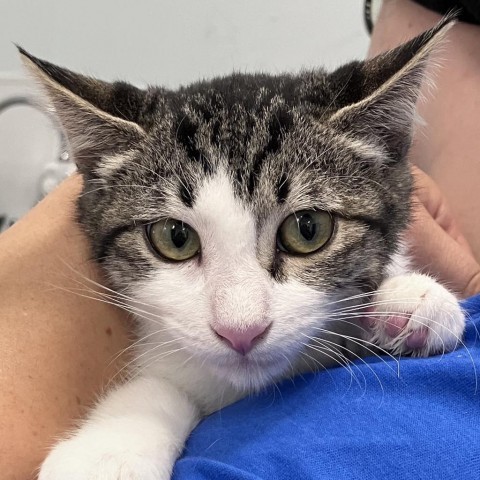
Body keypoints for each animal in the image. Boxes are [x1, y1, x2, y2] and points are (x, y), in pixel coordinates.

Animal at [23, 15, 464, 480]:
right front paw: (110, 451)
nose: (241, 331)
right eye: (175, 238)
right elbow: (166, 384)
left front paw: (412, 299)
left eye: (308, 230)